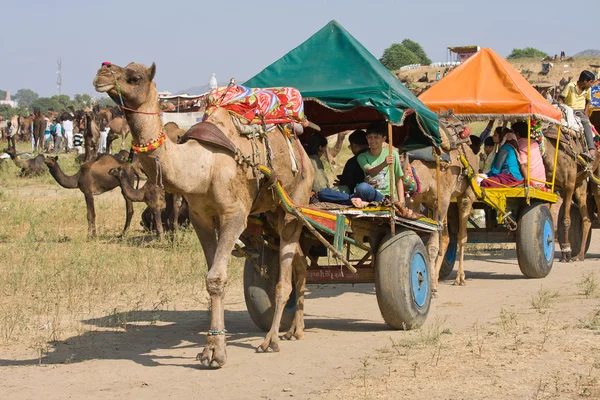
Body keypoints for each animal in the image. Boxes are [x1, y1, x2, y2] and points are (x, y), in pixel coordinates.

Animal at [94, 61, 314, 368]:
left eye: (134, 77)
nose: (101, 74)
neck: (203, 165)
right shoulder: (200, 217)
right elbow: (209, 278)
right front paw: (209, 348)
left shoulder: (234, 214)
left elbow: (216, 278)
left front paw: (216, 353)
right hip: (273, 213)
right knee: (300, 263)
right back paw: (296, 330)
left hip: (296, 203)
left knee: (284, 279)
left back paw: (270, 340)